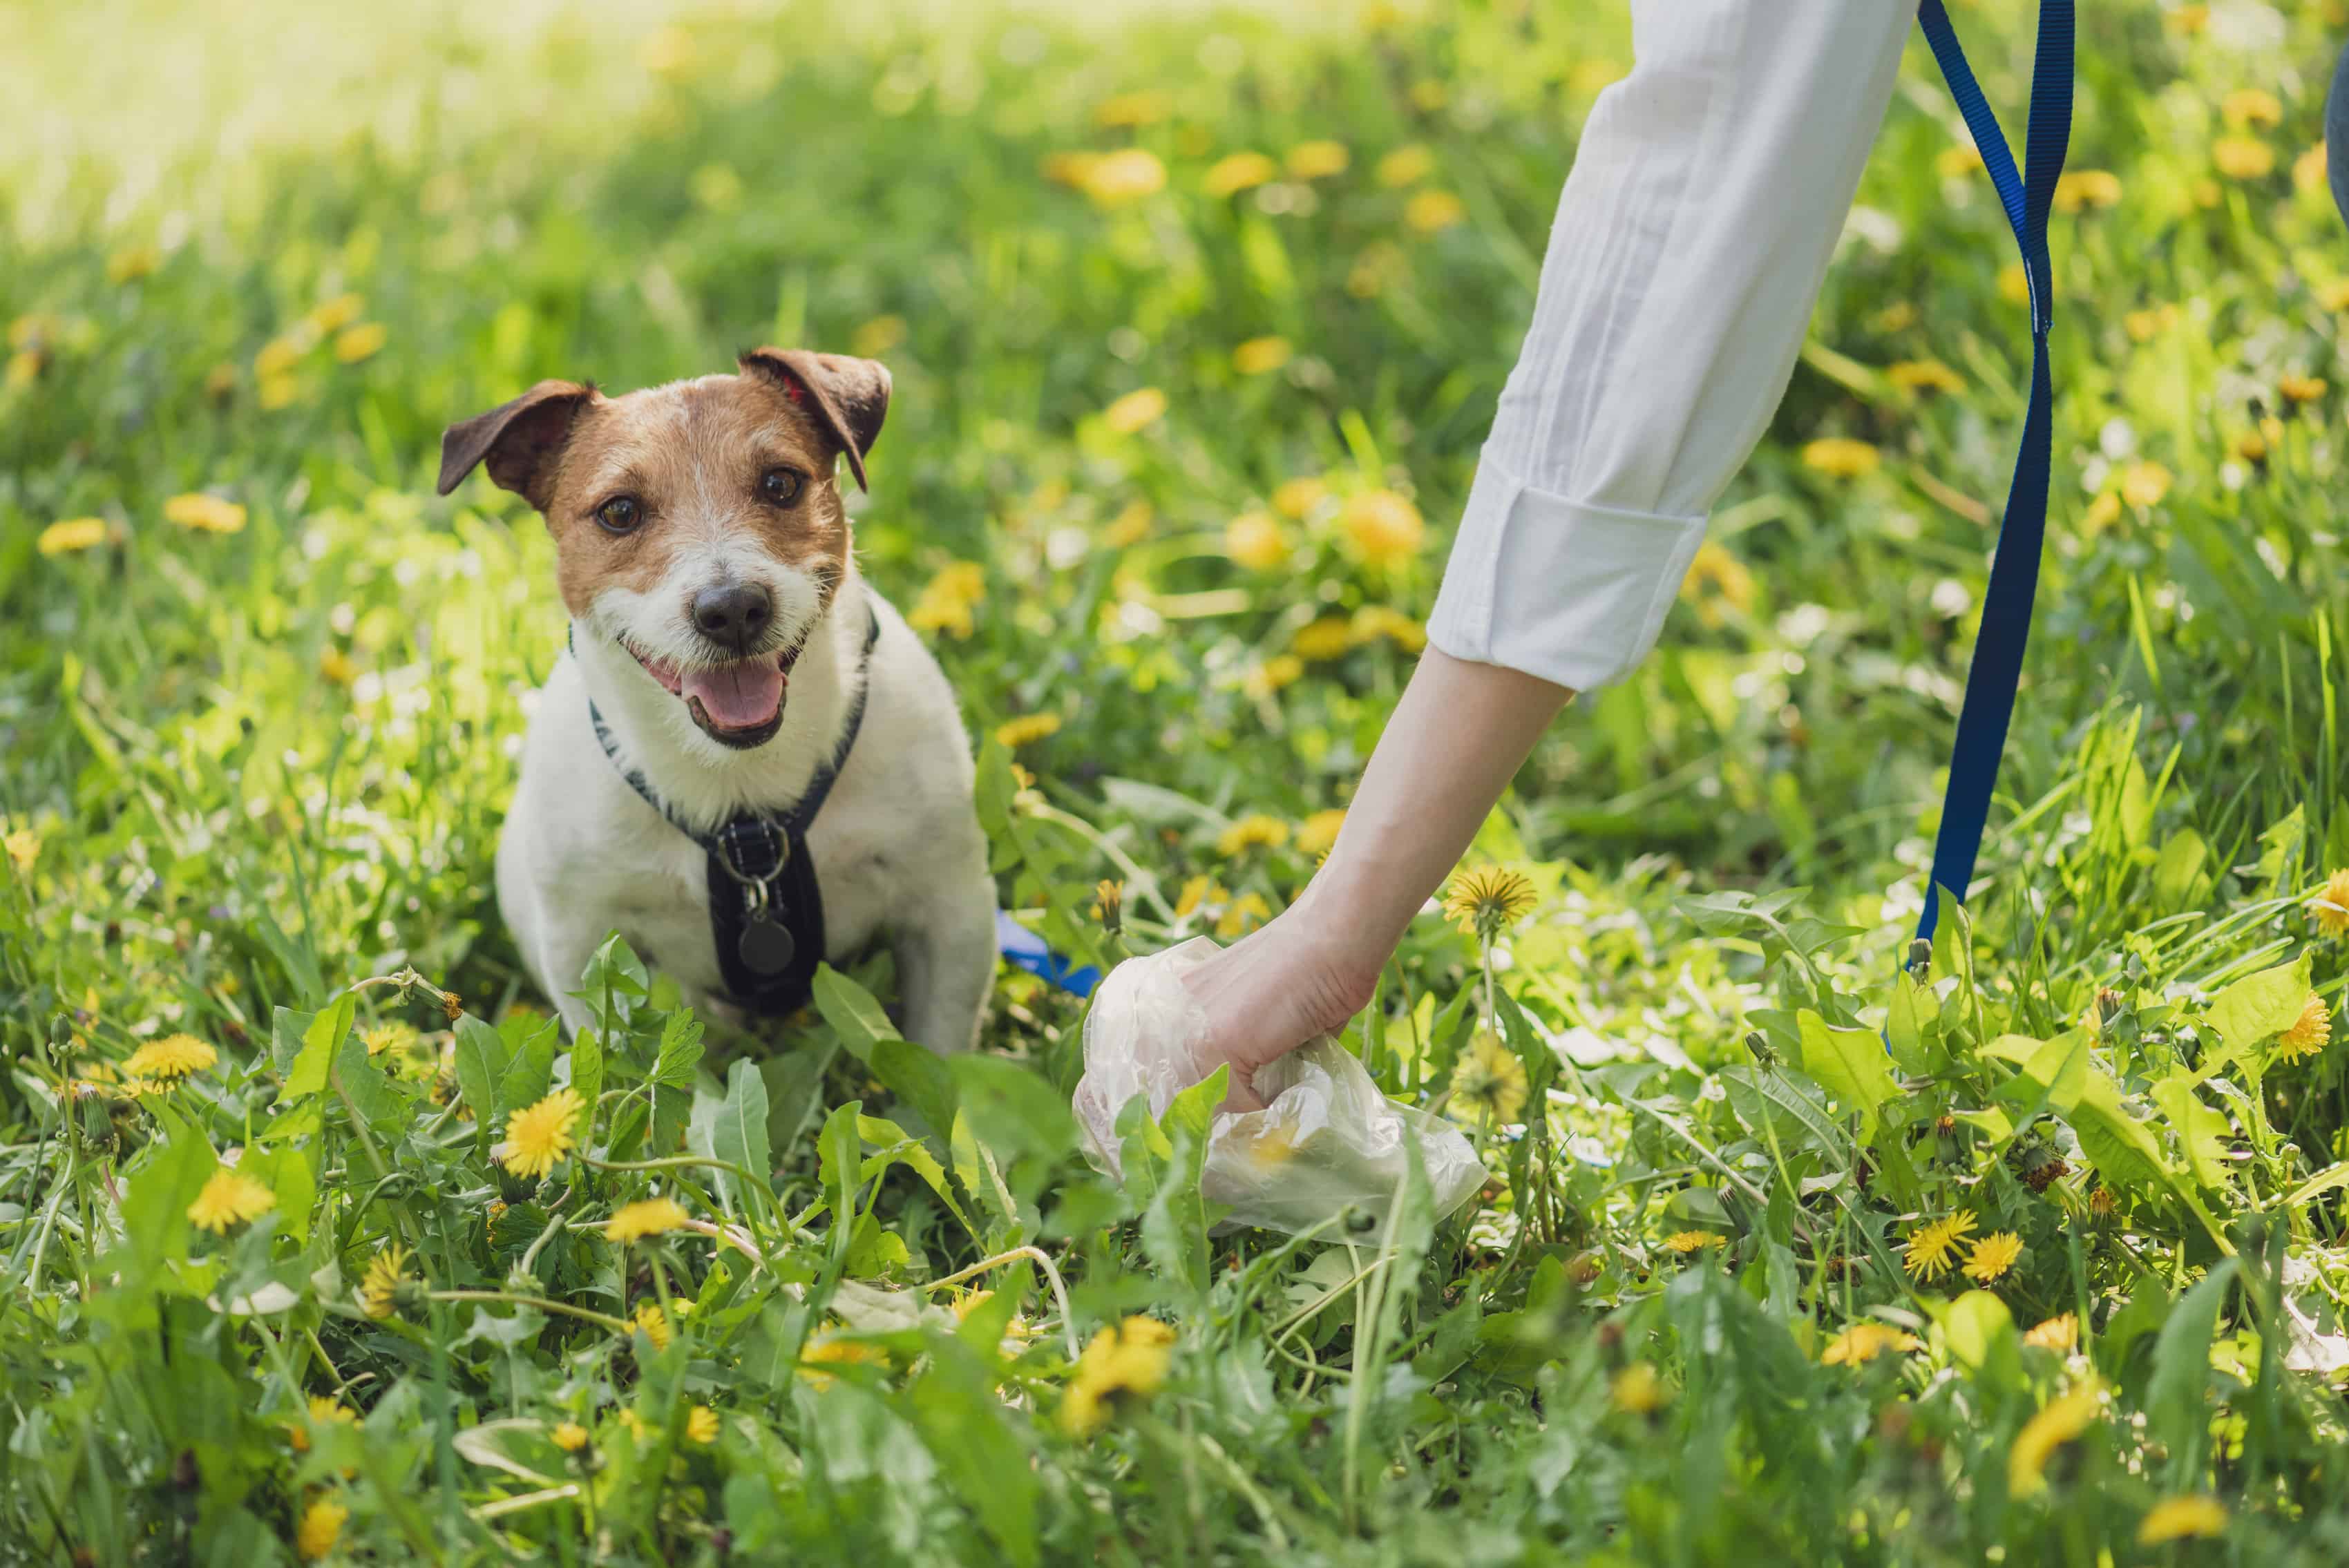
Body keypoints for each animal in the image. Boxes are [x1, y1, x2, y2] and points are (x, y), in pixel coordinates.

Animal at [439, 345, 991, 1051]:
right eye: (620, 511)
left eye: (781, 484)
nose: (731, 610)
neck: (742, 794)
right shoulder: (582, 944)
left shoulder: (951, 911)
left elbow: (939, 1052)